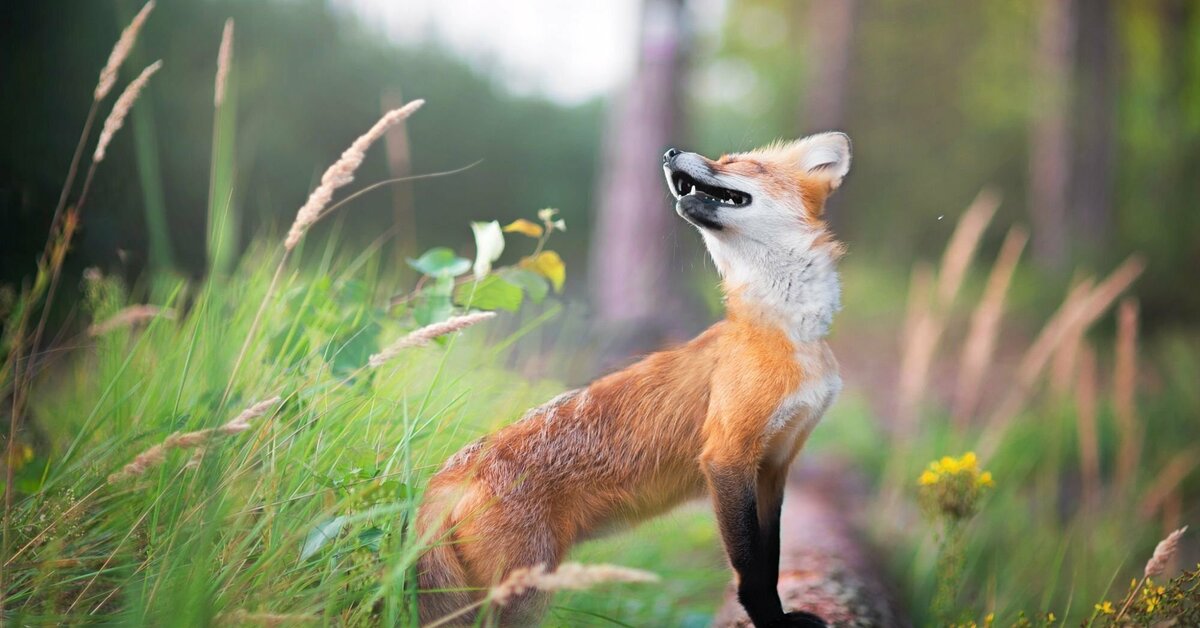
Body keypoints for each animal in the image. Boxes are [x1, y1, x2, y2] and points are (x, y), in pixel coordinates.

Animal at [417, 132, 849, 628]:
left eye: (740, 162)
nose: (669, 153)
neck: (786, 333)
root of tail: (450, 472)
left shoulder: (775, 463)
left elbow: (772, 557)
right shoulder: (727, 458)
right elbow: (752, 570)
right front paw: (773, 622)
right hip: (524, 596)